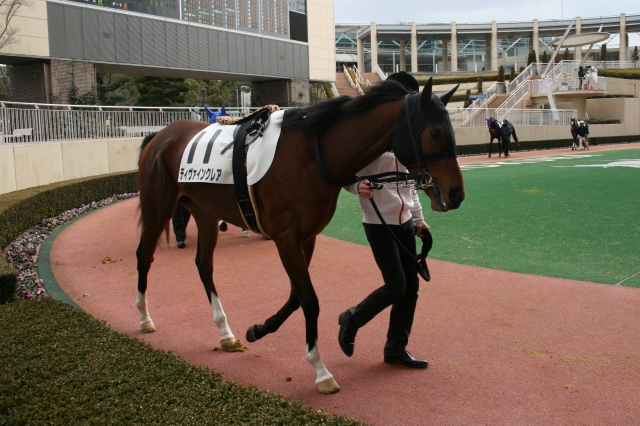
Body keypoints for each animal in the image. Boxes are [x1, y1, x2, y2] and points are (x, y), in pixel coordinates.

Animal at [135, 78, 466, 394]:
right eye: (435, 132)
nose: (456, 193)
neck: (312, 156)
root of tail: (160, 135)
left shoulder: (307, 237)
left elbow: (296, 295)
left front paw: (258, 329)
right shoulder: (286, 237)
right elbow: (309, 299)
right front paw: (321, 371)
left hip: (204, 212)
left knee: (204, 265)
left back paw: (226, 333)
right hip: (158, 207)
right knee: (144, 255)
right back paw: (144, 317)